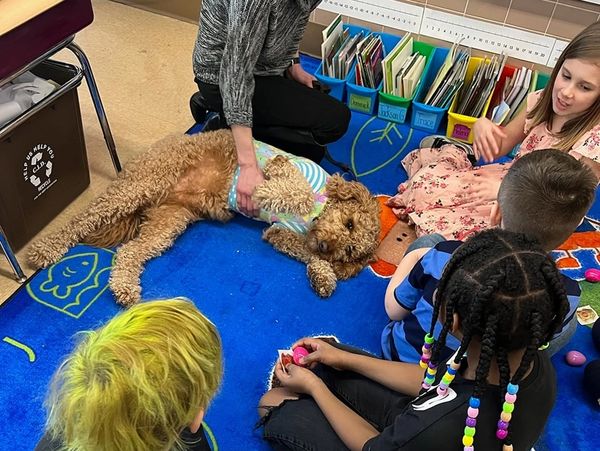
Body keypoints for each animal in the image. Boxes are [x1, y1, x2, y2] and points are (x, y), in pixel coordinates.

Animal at [28, 131, 380, 308]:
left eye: (350, 249)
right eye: (349, 223)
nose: (326, 245)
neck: (317, 216)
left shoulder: (279, 233)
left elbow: (304, 251)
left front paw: (324, 275)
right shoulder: (288, 171)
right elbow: (295, 189)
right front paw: (265, 191)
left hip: (168, 222)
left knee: (130, 252)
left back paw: (124, 287)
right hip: (142, 183)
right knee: (83, 218)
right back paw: (46, 249)